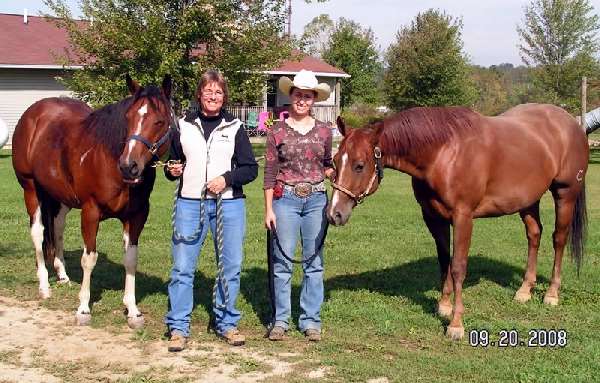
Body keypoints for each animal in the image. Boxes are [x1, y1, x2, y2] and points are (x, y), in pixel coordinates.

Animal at [11, 76, 175, 330]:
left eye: (159, 121)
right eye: (128, 117)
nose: (129, 166)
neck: (107, 157)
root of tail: (33, 114)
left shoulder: (136, 215)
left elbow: (131, 259)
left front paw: (133, 311)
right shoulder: (90, 212)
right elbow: (89, 259)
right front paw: (83, 309)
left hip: (62, 198)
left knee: (57, 229)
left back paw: (63, 276)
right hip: (30, 189)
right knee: (38, 233)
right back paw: (44, 287)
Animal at [328, 103, 584, 340]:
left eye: (359, 165)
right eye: (334, 161)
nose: (334, 214)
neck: (443, 152)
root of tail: (571, 122)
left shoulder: (463, 217)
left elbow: (459, 267)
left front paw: (456, 324)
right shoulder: (433, 217)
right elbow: (444, 262)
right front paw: (444, 306)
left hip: (565, 194)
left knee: (559, 239)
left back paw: (551, 294)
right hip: (528, 200)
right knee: (534, 234)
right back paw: (524, 291)